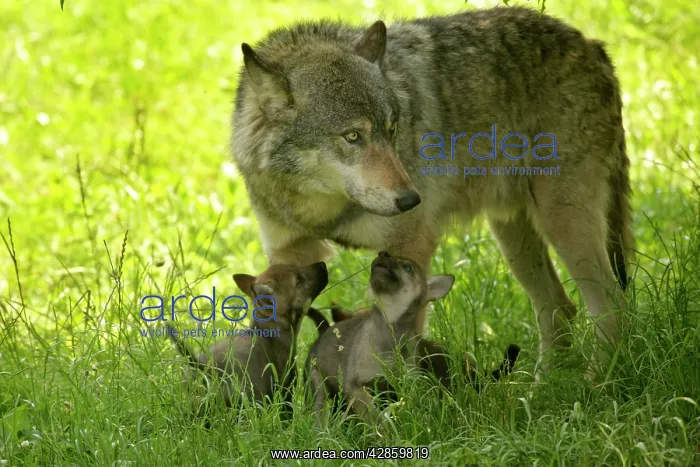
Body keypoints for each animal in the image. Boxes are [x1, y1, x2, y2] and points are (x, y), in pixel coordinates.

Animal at [230, 6, 634, 367]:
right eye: (353, 136)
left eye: (392, 129)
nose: (412, 199)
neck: (323, 207)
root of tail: (592, 45)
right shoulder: (289, 254)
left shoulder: (411, 246)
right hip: (512, 233)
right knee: (559, 308)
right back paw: (541, 390)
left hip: (561, 222)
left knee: (611, 305)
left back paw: (595, 385)